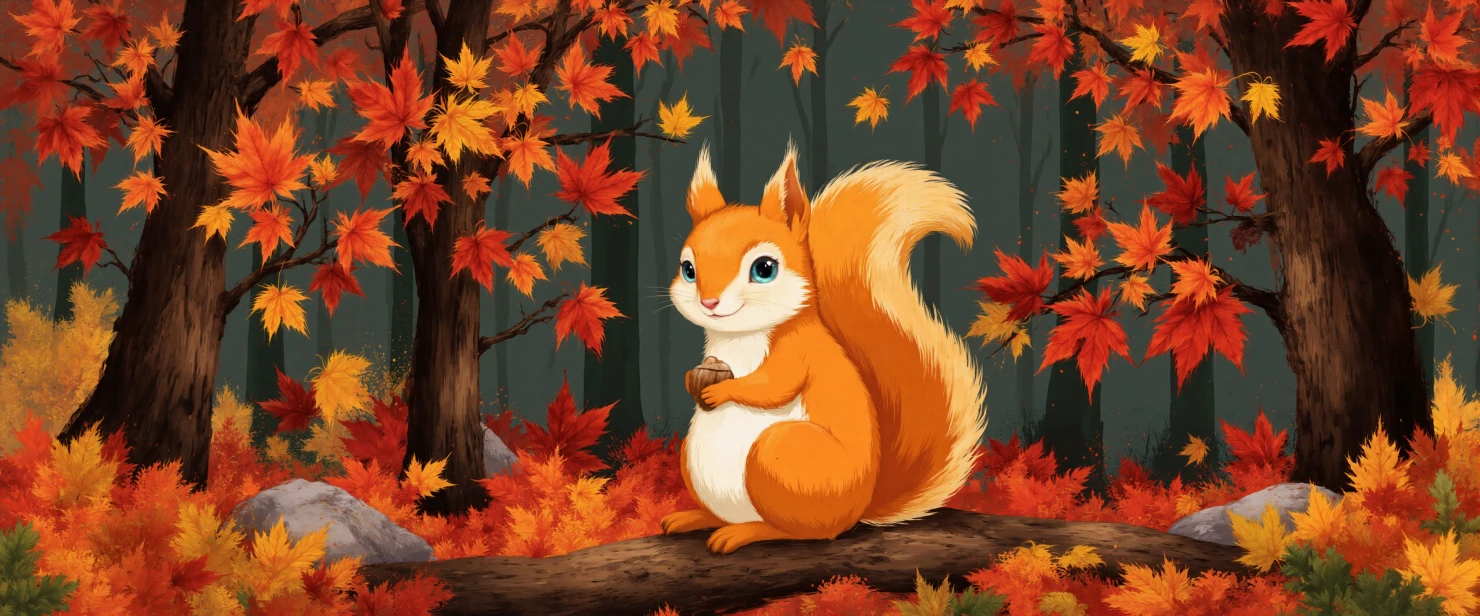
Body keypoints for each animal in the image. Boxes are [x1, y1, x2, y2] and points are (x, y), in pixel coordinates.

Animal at [661, 142, 988, 554]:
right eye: (688, 269)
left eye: (764, 268)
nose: (709, 302)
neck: (738, 337)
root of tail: (859, 508)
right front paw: (694, 379)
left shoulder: (800, 352)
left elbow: (773, 386)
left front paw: (723, 390)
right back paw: (695, 518)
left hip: (783, 457)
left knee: (804, 531)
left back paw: (746, 532)